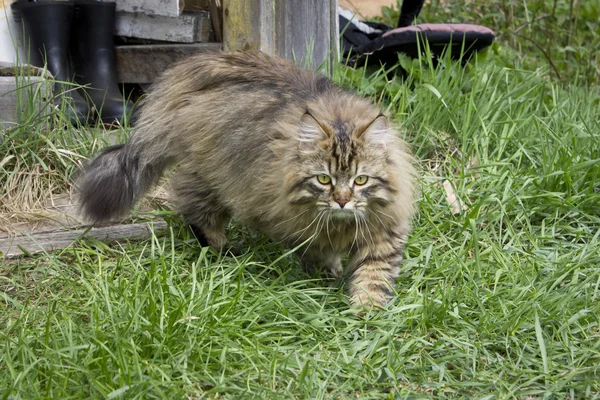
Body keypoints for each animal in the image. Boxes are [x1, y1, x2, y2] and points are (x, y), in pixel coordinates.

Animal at [78, 50, 418, 310]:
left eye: (361, 180)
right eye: (324, 179)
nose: (343, 201)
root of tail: (193, 67)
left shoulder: (384, 229)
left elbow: (374, 275)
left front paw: (366, 312)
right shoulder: (293, 221)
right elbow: (317, 249)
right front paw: (328, 274)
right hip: (210, 178)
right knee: (195, 211)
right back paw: (221, 250)